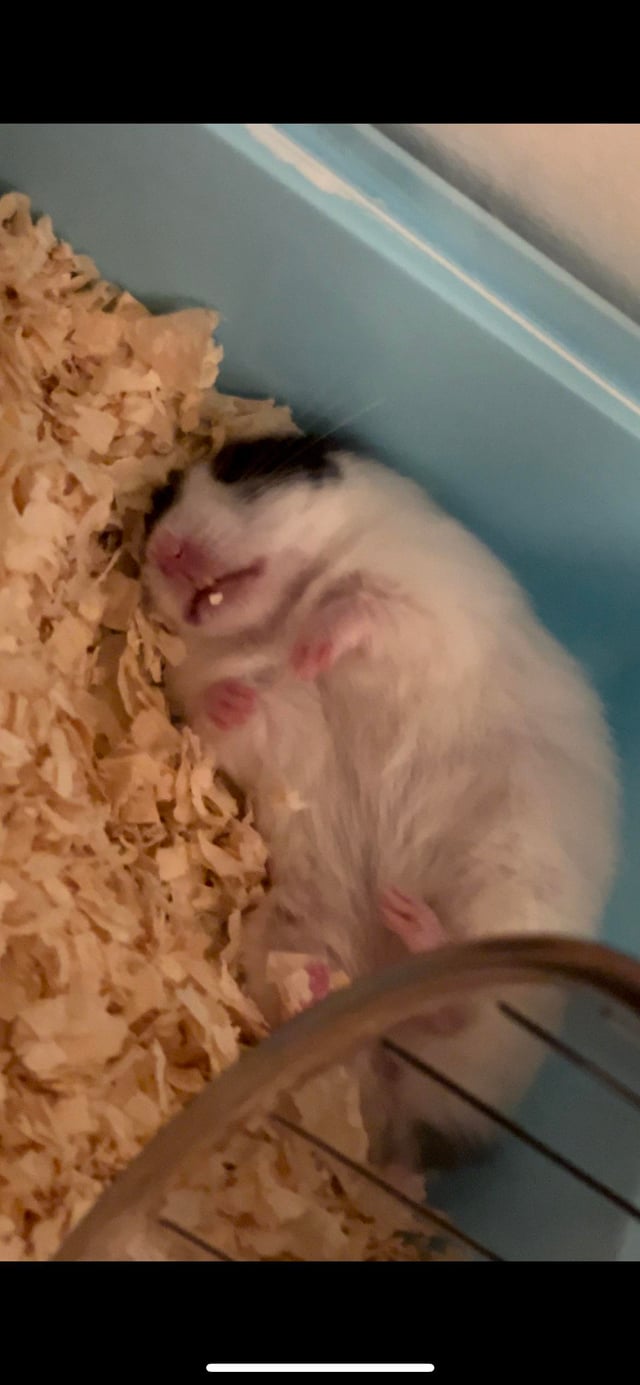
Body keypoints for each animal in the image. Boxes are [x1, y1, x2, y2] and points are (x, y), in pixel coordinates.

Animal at [143, 434, 619, 1176]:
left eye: (239, 467)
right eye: (158, 508)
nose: (165, 550)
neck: (275, 615)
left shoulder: (428, 600)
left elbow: (367, 608)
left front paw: (315, 645)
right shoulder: (249, 708)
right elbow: (239, 713)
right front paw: (236, 696)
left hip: (507, 886)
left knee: (460, 1009)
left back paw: (409, 925)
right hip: (296, 926)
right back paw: (318, 985)